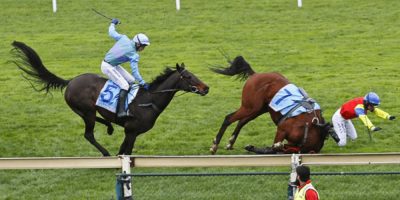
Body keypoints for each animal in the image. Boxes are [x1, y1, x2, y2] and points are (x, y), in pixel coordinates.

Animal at [11, 41, 209, 156]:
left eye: (194, 75)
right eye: (189, 77)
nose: (206, 88)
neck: (149, 100)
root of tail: (71, 81)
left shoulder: (132, 133)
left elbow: (124, 152)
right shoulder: (131, 131)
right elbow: (125, 153)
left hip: (85, 111)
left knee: (98, 121)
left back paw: (109, 127)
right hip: (87, 111)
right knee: (89, 134)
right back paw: (105, 153)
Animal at [209, 56, 338, 155]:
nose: (288, 148)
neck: (309, 126)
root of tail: (255, 75)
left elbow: (273, 149)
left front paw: (252, 147)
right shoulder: (282, 129)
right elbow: (274, 147)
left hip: (257, 110)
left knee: (241, 121)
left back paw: (230, 142)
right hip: (249, 107)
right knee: (229, 118)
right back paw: (215, 145)